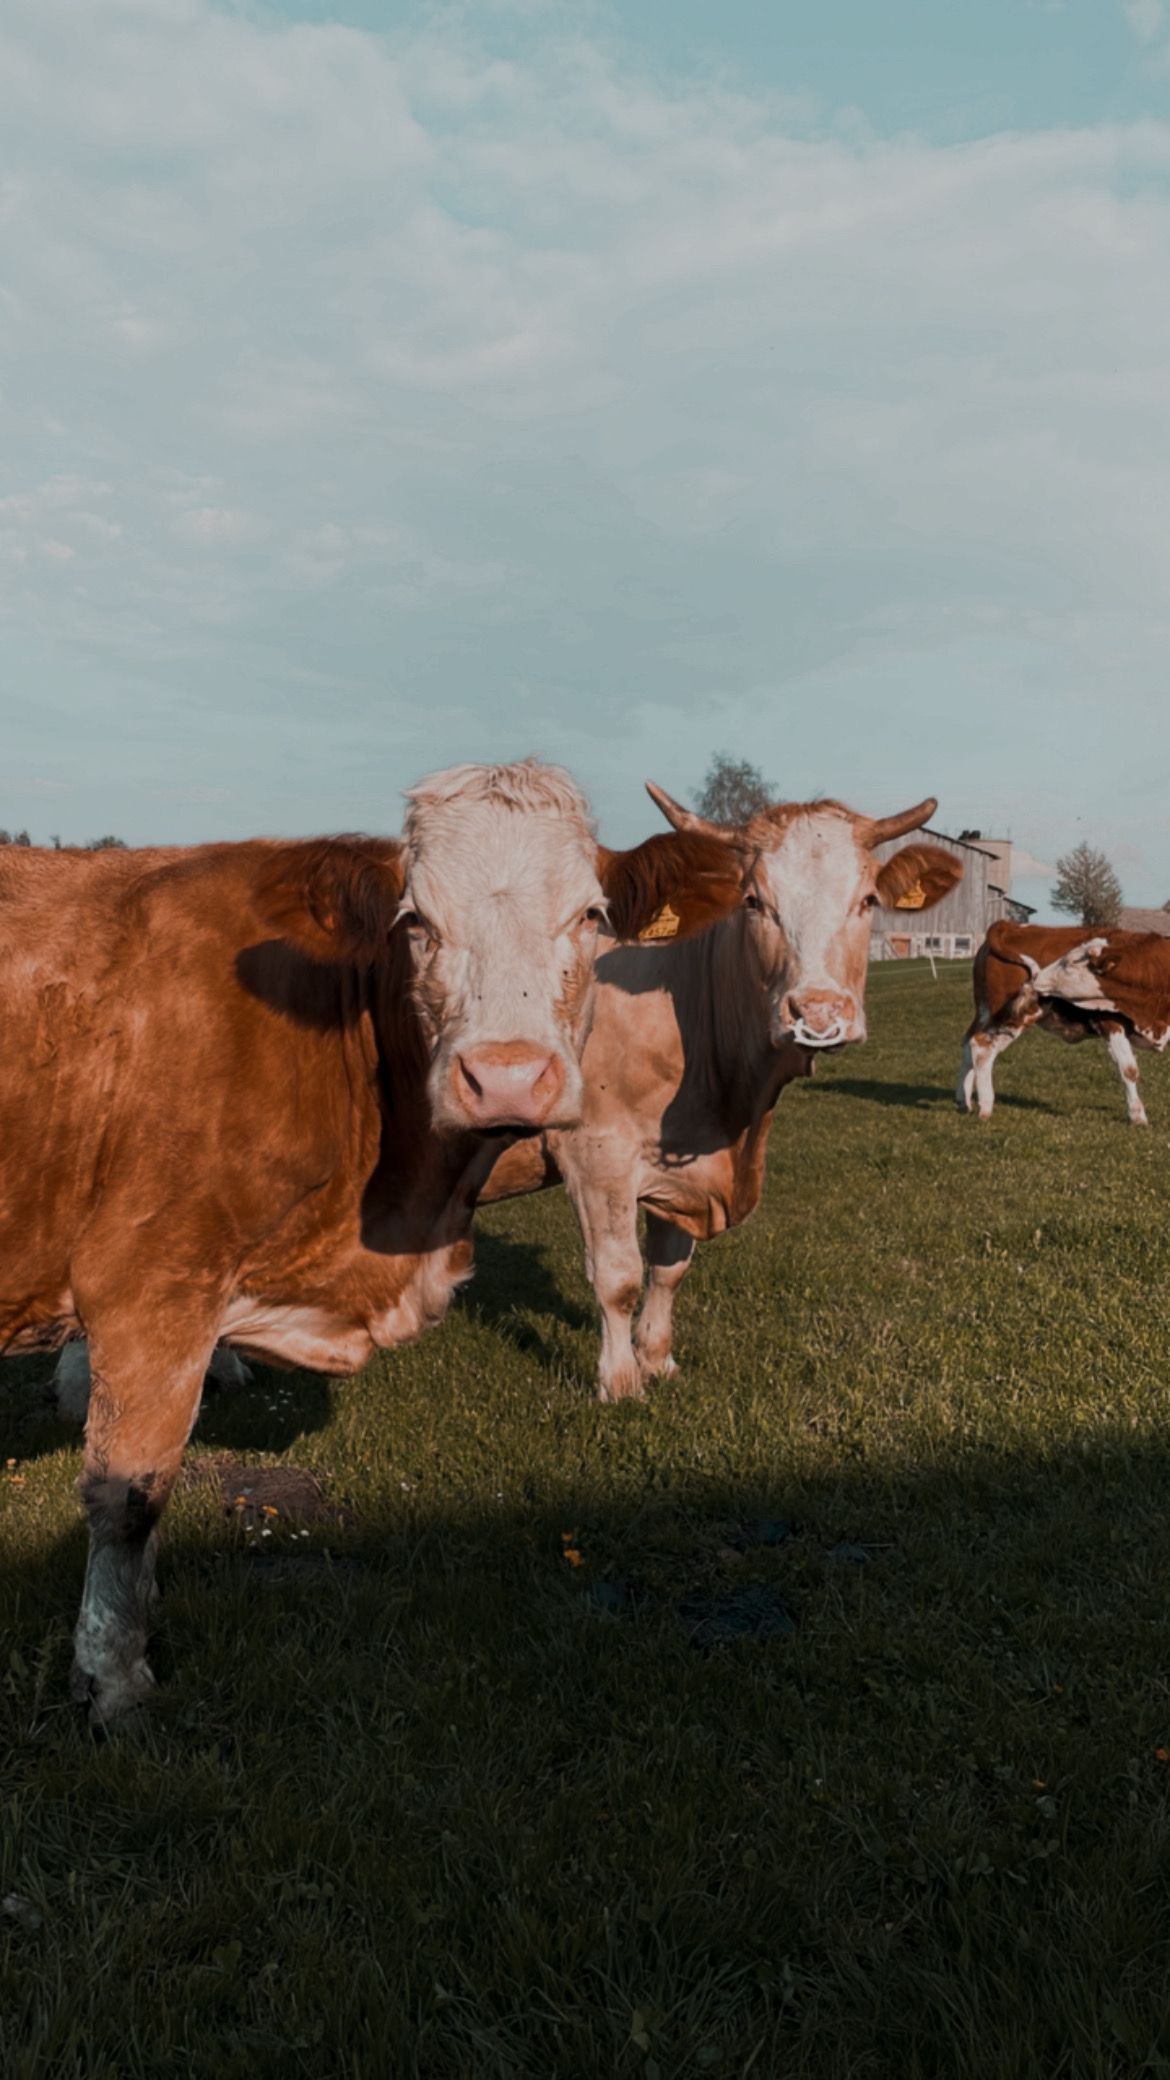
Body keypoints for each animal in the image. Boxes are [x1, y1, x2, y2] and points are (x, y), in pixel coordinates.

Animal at [2, 759, 747, 1720]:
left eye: (590, 916)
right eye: (415, 922)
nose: (508, 1077)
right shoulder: (150, 1283)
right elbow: (129, 1494)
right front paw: (115, 1676)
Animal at [483, 785, 962, 1402]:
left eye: (868, 899)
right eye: (754, 902)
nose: (818, 1013)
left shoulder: (677, 1162)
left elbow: (668, 1268)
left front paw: (657, 1360)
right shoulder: (596, 1153)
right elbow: (617, 1274)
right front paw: (621, 1383)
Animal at [956, 921, 1167, 1125]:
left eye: (1071, 962)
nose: (1037, 977)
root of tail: (1010, 926)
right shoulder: (1109, 1022)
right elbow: (1128, 1069)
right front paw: (1137, 1116)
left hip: (986, 1013)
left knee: (968, 1044)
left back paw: (963, 1101)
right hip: (1011, 1015)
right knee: (981, 1046)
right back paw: (985, 1107)